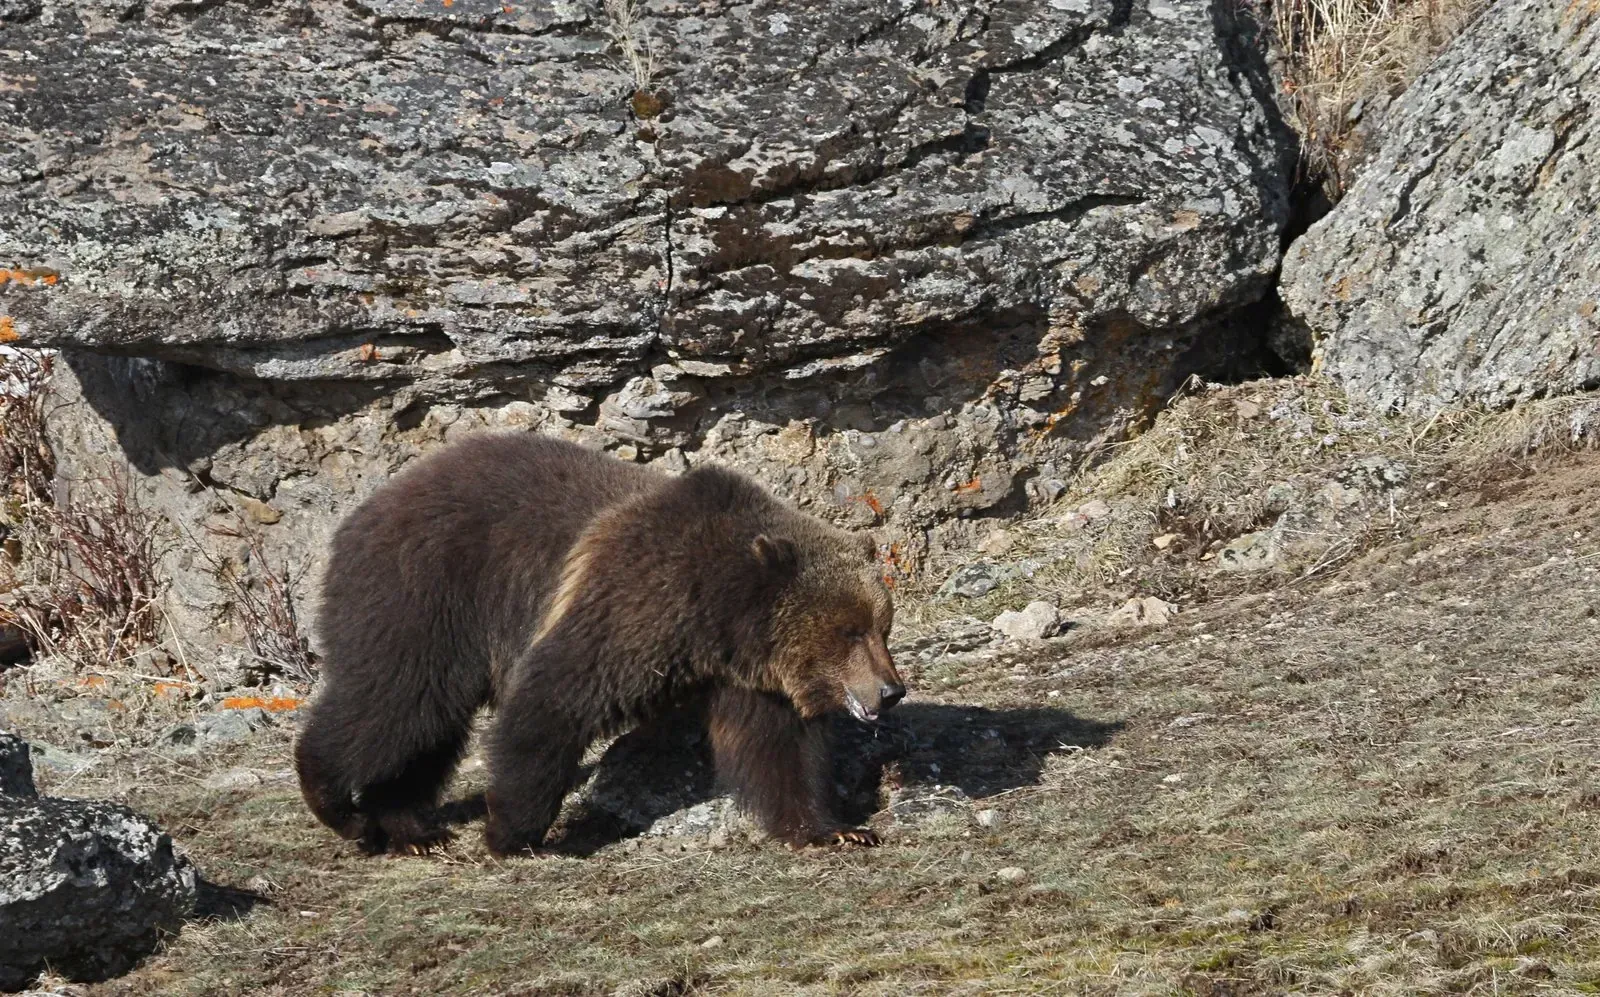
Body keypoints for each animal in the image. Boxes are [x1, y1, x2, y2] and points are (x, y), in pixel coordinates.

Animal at [294, 433, 905, 857]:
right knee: (396, 702)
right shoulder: (633, 604)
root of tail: (367, 507)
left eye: (883, 625)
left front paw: (837, 830)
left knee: (427, 731)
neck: (716, 617)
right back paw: (336, 804)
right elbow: (553, 702)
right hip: (425, 595)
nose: (891, 691)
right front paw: (512, 831)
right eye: (851, 630)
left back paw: (409, 827)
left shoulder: (753, 677)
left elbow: (779, 752)